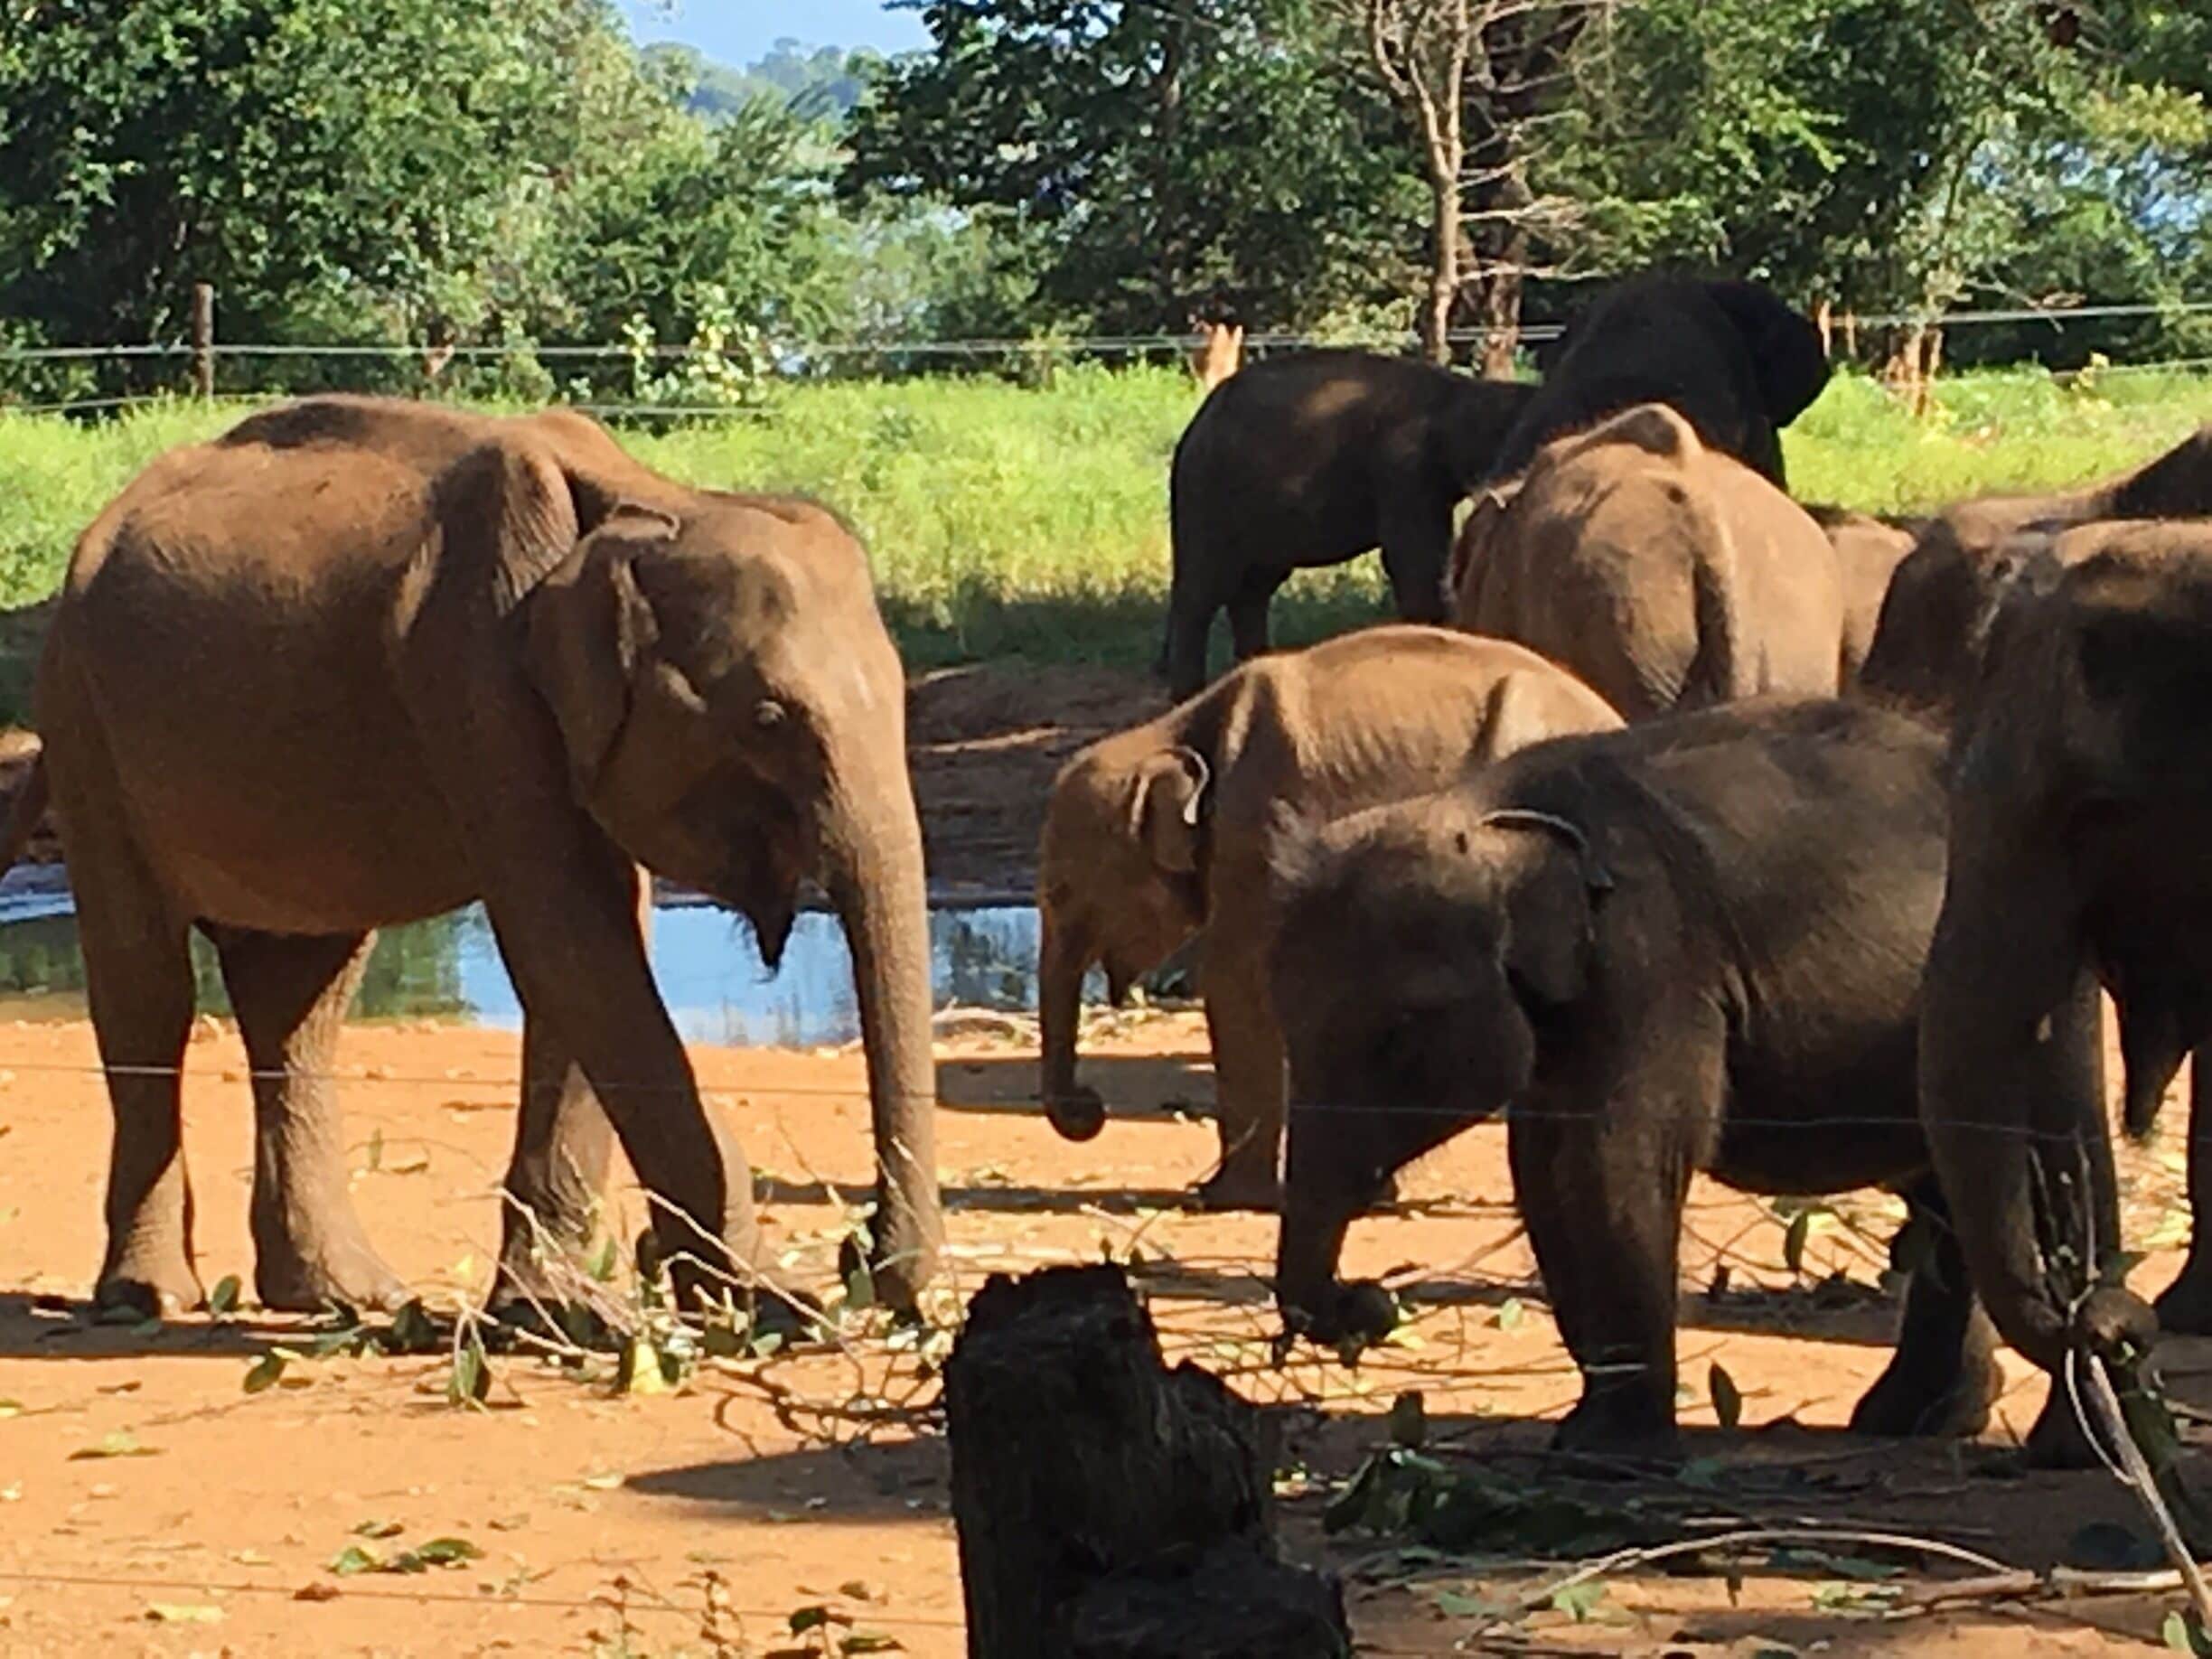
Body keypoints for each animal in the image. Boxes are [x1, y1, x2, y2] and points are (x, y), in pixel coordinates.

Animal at [0, 395, 941, 1319]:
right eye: (767, 720)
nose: (858, 1253)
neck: (652, 503)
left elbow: (597, 942)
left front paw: (554, 1311)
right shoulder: (474, 677)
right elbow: (570, 936)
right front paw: (761, 1301)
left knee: (301, 999)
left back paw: (345, 1298)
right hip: (84, 723)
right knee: (148, 986)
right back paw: (149, 1299)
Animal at [1038, 624, 1621, 1210]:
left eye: (1062, 892)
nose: (1090, 1108)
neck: (1173, 733)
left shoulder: (1256, 834)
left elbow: (1237, 985)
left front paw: (1222, 1197)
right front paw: (1369, 1190)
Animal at [1158, 350, 1537, 700]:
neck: (1460, 394)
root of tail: (1194, 427)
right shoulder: (1404, 469)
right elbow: (1413, 559)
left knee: (1253, 589)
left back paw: (1255, 662)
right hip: (1208, 496)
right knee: (1202, 591)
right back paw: (1188, 694)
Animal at [1265, 696, 2110, 1458]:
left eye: (1397, 1036)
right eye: (1289, 1029)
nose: (1370, 1303)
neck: (1489, 804)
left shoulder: (1653, 959)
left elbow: (1617, 1163)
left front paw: (1610, 1453)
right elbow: (1542, 1172)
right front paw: (1585, 1432)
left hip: (2046, 987)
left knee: (2049, 1170)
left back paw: (2054, 1444)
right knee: (1952, 1192)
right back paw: (1916, 1420)